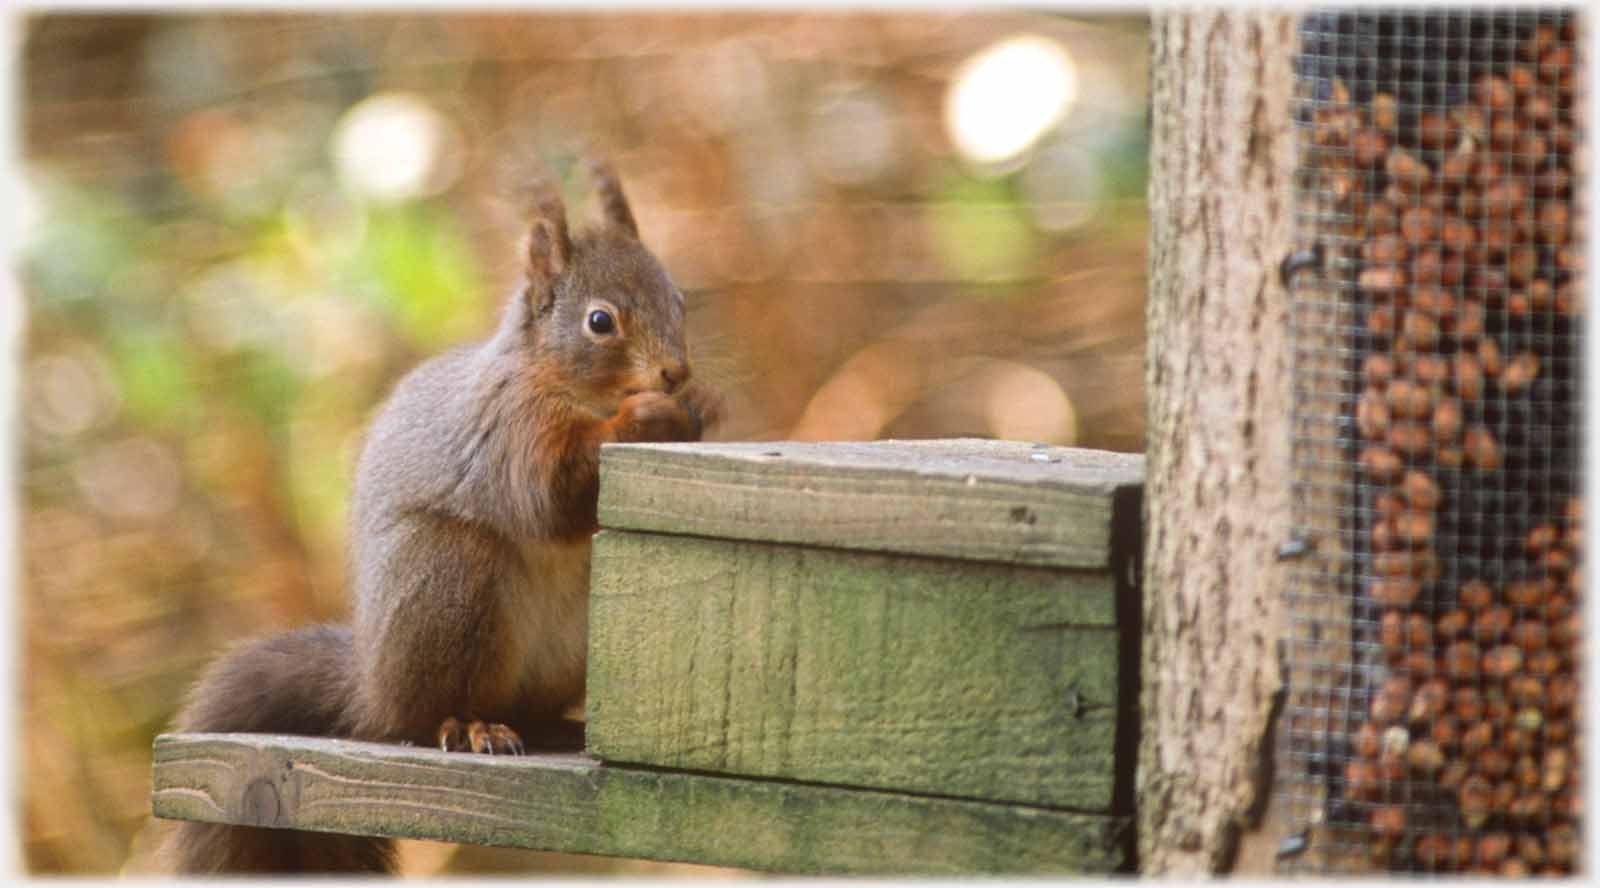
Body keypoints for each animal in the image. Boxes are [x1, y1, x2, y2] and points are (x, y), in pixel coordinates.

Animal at [165, 160, 722, 874]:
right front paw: (646, 415)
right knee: (426, 715)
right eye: (600, 321)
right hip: (452, 583)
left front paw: (701, 406)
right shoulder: (510, 433)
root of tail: (371, 685)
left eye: (678, 300)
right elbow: (550, 497)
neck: (560, 382)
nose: (676, 372)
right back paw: (470, 724)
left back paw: (552, 725)